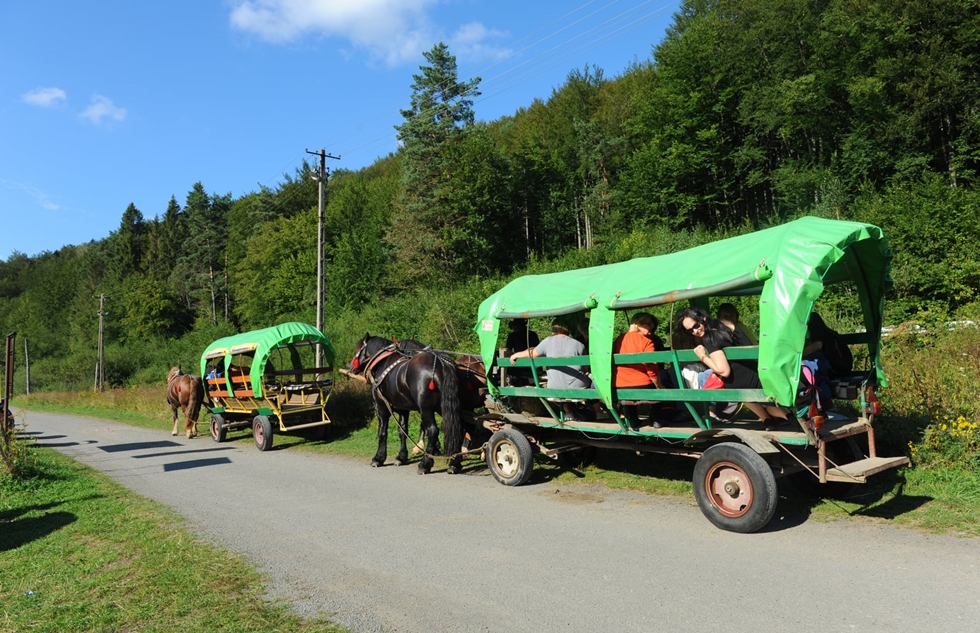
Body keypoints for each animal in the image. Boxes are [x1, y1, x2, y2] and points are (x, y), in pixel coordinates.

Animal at [348, 334, 464, 472]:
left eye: (358, 348)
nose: (350, 367)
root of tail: (441, 362)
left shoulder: (381, 408)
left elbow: (382, 433)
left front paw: (378, 458)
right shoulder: (403, 409)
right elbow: (402, 431)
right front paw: (401, 457)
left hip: (426, 409)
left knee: (432, 431)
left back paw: (425, 464)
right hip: (446, 407)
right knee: (458, 428)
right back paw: (454, 463)